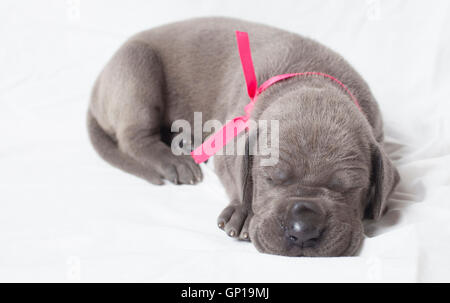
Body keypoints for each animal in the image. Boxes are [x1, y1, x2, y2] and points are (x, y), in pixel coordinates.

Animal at [88, 17, 400, 258]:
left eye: (349, 188)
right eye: (271, 178)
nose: (303, 230)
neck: (311, 78)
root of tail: (96, 88)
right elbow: (238, 179)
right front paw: (244, 212)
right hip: (136, 69)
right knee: (134, 137)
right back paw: (173, 160)